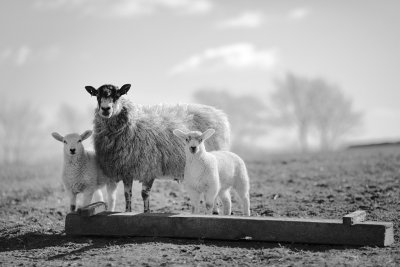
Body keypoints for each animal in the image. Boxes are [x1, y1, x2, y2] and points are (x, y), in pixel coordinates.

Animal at [85, 84, 230, 214]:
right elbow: (128, 195)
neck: (133, 124)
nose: (105, 109)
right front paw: (127, 211)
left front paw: (146, 211)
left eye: (117, 95)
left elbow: (144, 194)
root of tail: (217, 112)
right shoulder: (126, 170)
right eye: (97, 95)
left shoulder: (149, 167)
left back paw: (215, 211)